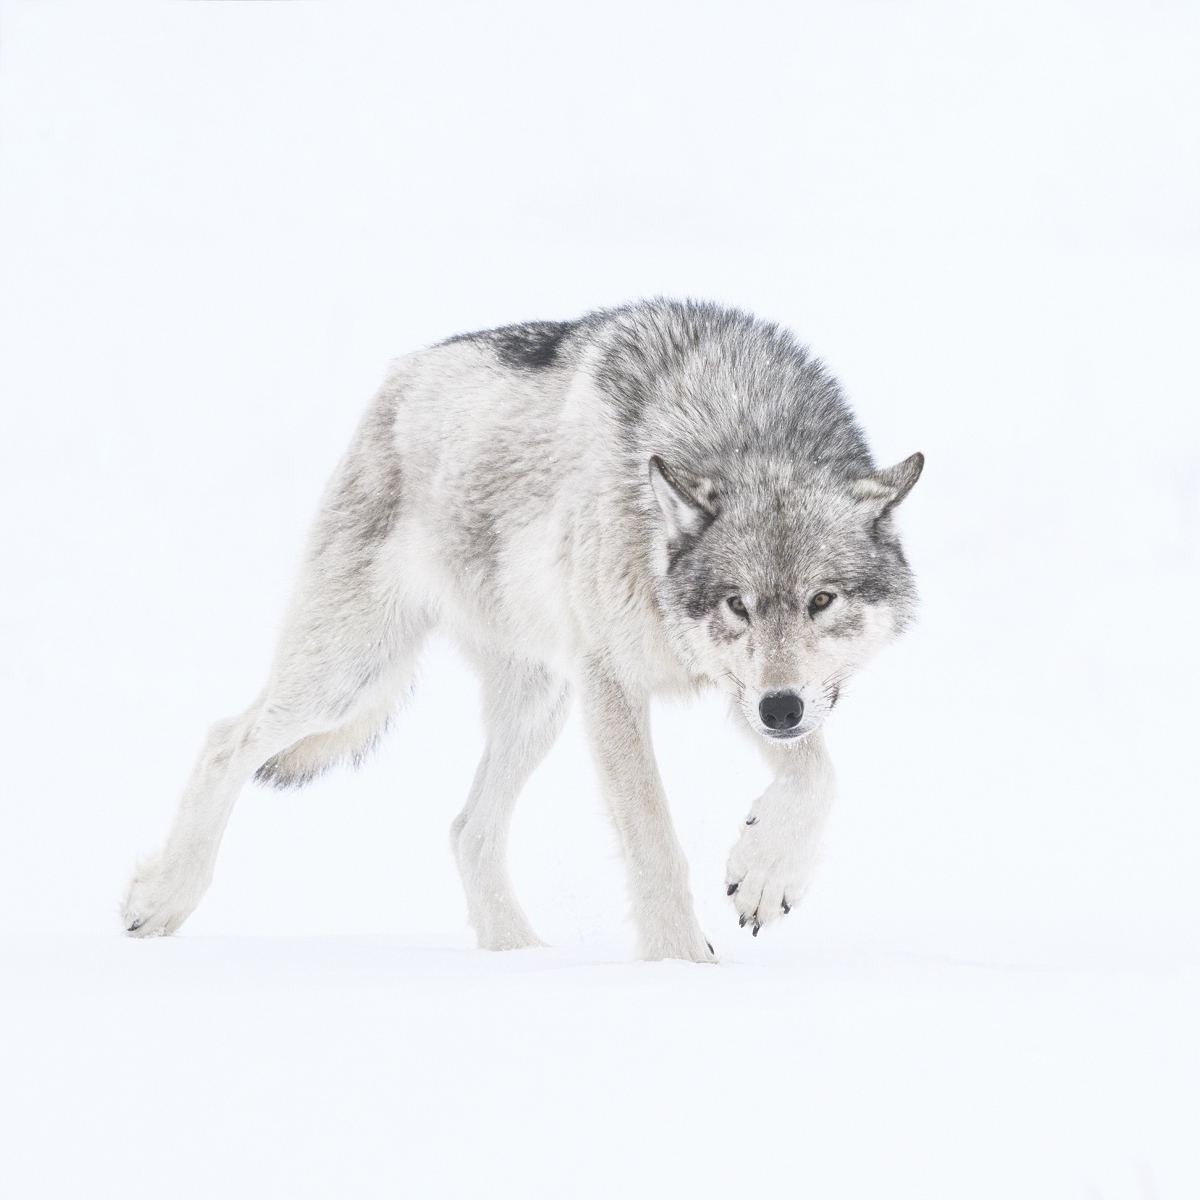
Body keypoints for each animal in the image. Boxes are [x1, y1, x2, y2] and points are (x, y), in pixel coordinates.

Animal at [122, 299, 922, 961]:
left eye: (821, 600)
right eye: (738, 605)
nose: (780, 711)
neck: (743, 428)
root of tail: (400, 374)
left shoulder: (748, 689)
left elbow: (819, 777)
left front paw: (765, 875)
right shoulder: (615, 683)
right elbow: (655, 844)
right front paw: (679, 968)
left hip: (540, 705)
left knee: (468, 830)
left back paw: (517, 958)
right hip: (351, 675)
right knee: (226, 741)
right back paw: (162, 899)